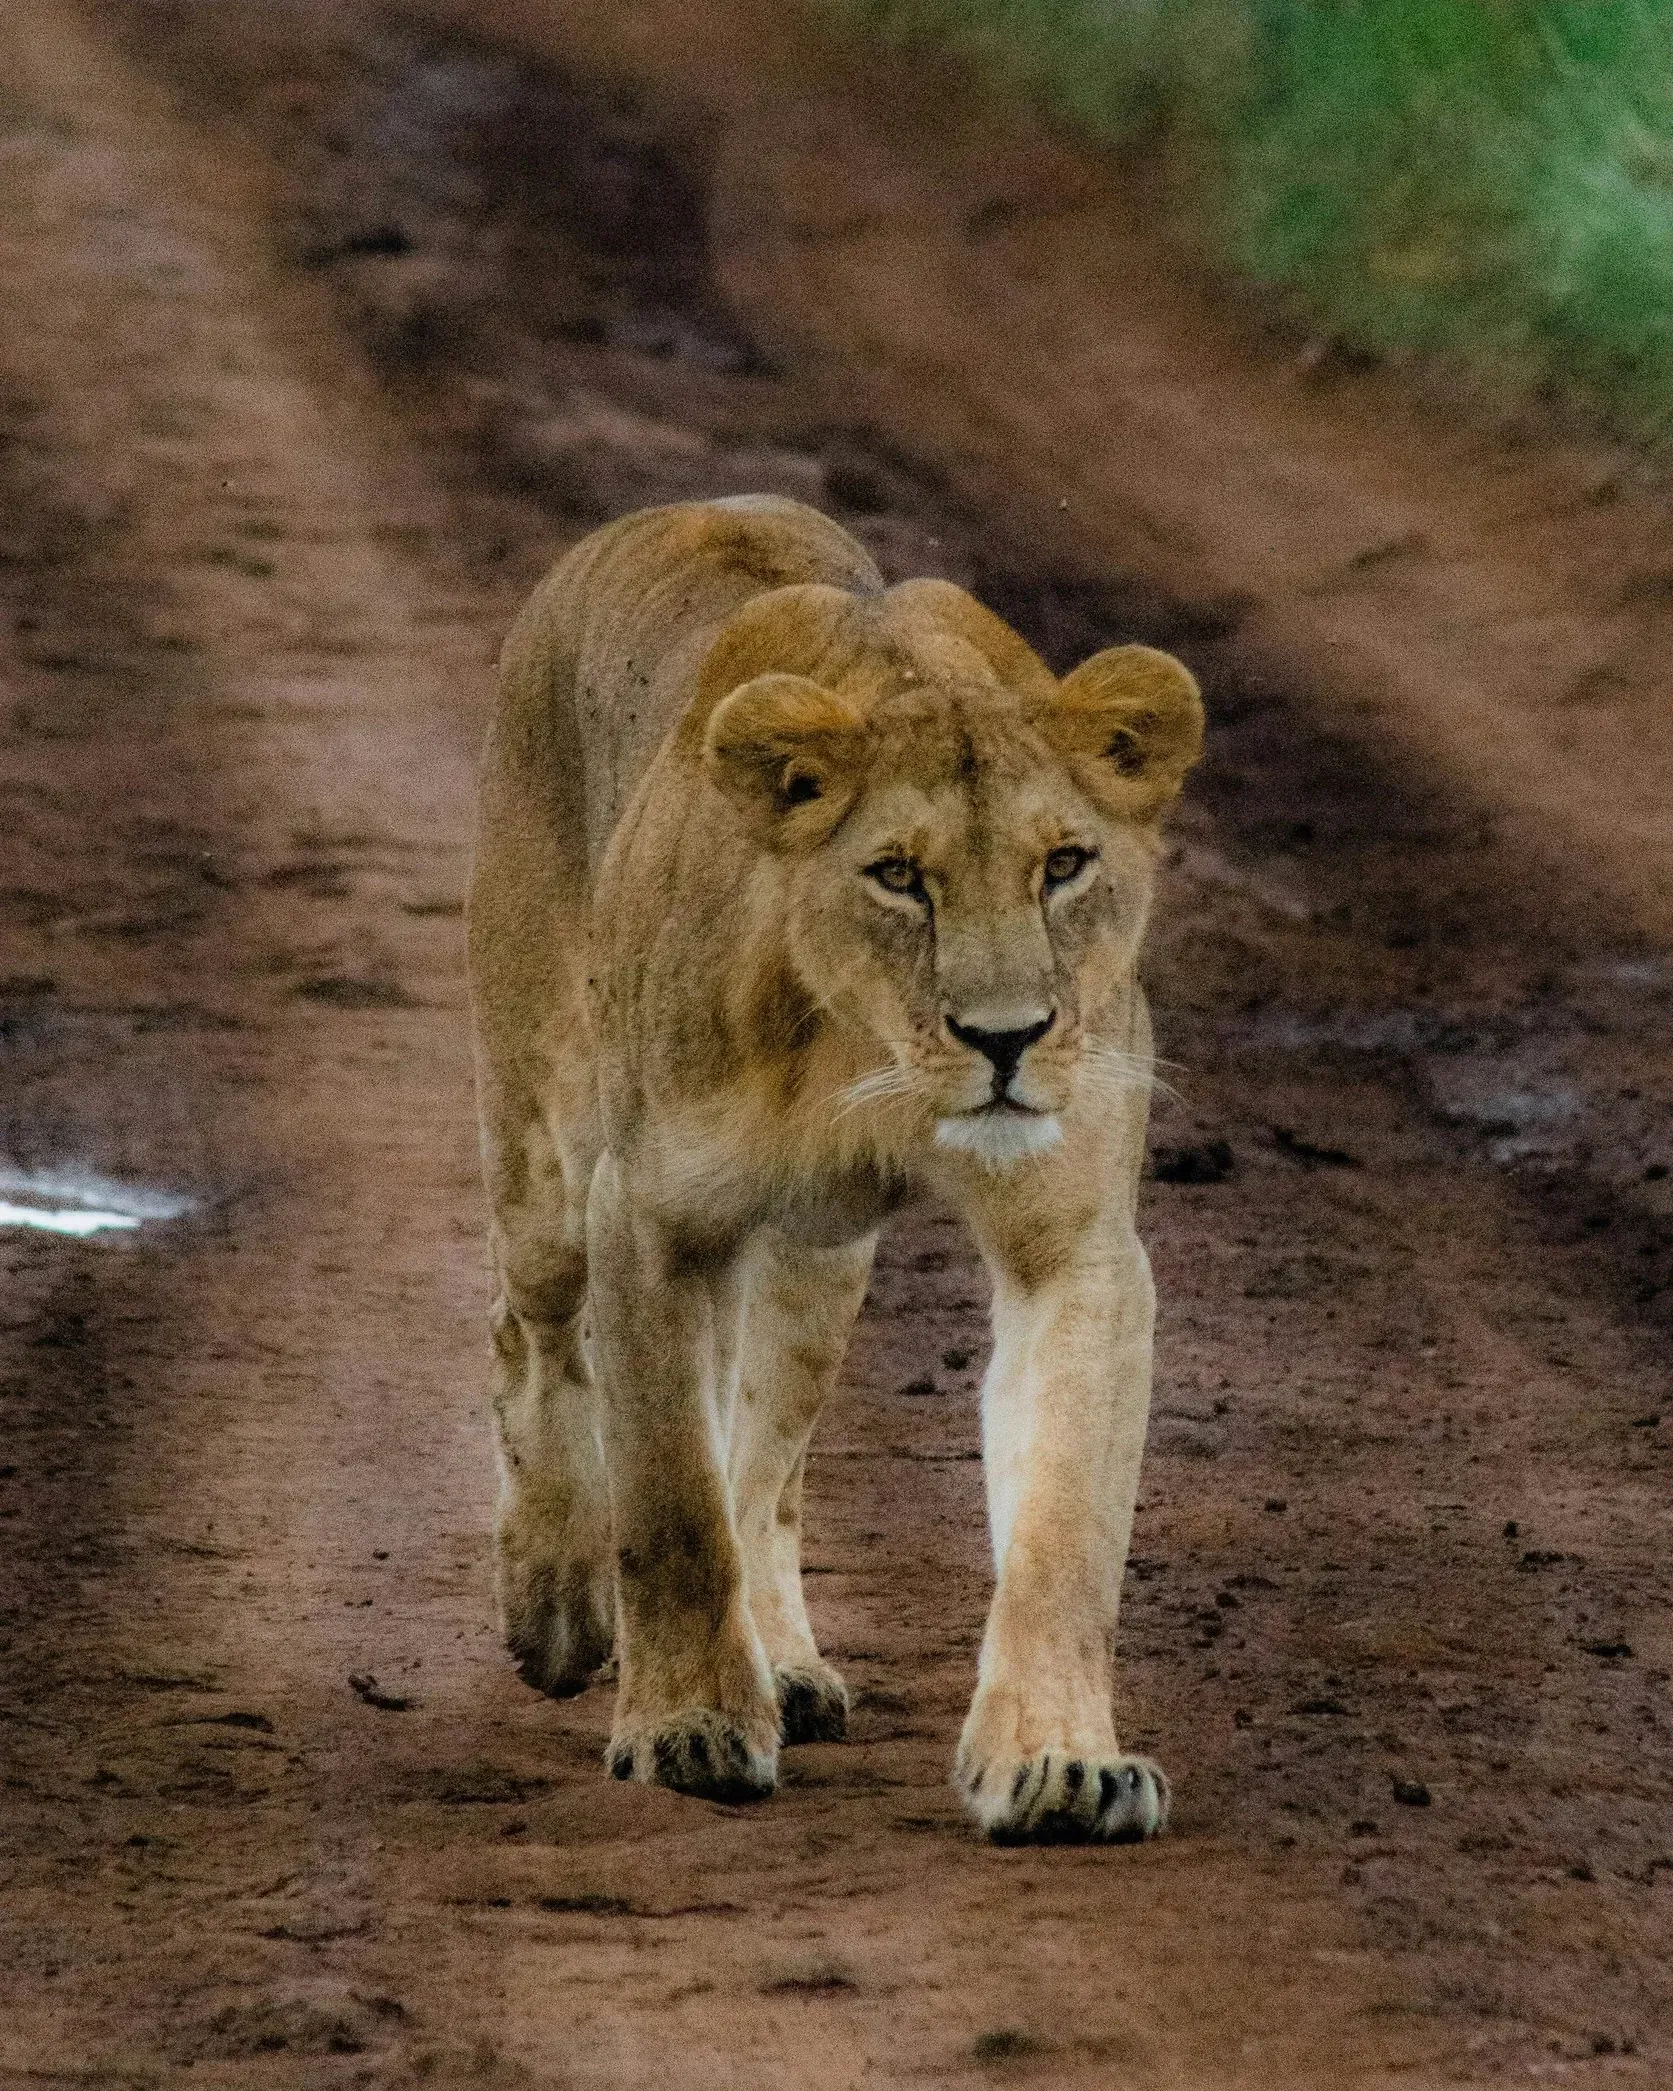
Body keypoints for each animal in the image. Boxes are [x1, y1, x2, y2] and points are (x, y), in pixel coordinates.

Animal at [467, 495, 1202, 1842]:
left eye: (1063, 864)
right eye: (897, 876)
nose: (1007, 1037)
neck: (865, 1051)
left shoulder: (1072, 1245)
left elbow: (1063, 1531)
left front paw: (1060, 1762)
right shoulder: (650, 1217)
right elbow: (670, 1503)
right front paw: (687, 1729)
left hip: (819, 1262)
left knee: (767, 1464)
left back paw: (785, 1663)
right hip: (545, 1131)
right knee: (531, 1329)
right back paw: (554, 1606)